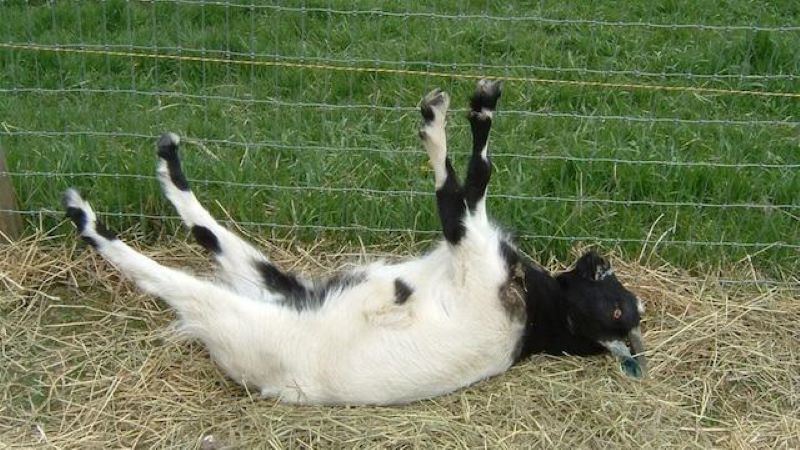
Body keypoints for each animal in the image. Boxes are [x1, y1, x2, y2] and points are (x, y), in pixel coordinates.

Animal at [65, 81, 648, 408]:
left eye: (619, 308)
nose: (597, 258)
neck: (535, 313)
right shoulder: (467, 248)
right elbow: (472, 183)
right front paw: (476, 104)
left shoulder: (471, 249)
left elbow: (465, 184)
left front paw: (446, 115)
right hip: (288, 285)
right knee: (211, 234)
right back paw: (167, 162)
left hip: (243, 315)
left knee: (170, 279)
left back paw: (85, 215)